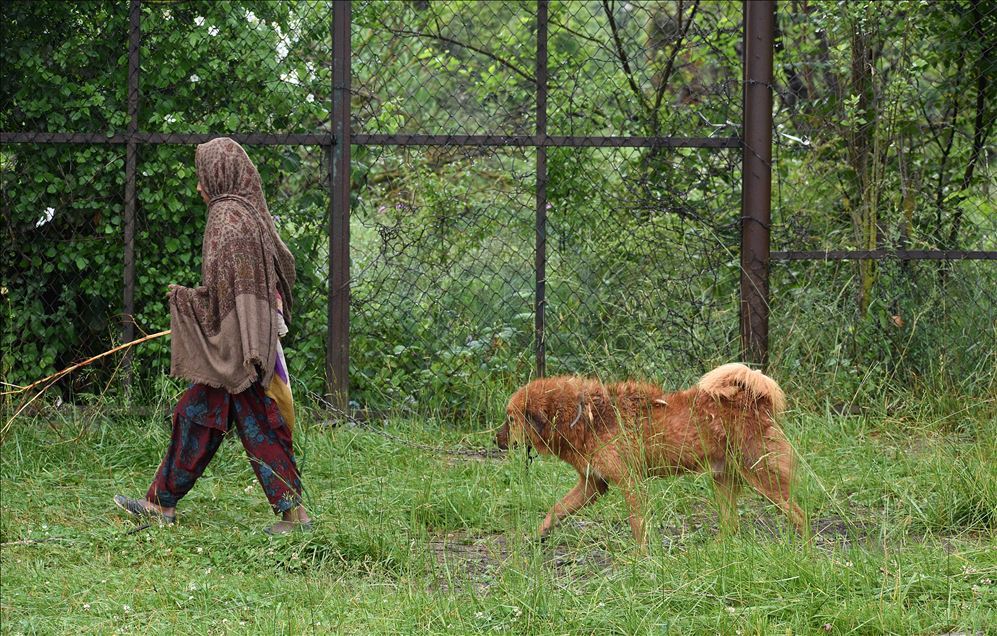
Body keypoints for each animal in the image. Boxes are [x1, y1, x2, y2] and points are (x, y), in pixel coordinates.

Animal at [494, 362, 804, 548]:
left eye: (510, 419)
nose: (494, 440)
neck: (586, 416)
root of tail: (757, 401)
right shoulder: (592, 484)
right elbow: (556, 509)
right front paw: (537, 534)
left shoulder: (630, 483)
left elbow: (637, 524)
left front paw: (641, 557)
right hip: (723, 481)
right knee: (732, 525)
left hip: (762, 479)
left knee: (800, 515)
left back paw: (803, 550)